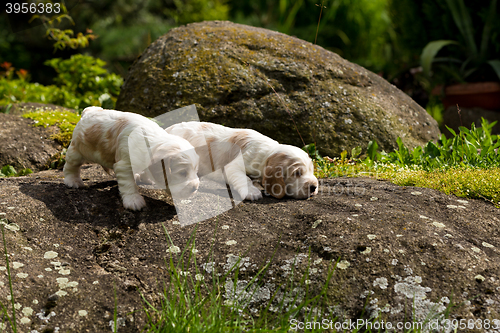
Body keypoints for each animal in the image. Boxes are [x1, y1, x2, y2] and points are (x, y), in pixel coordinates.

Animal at [63, 107, 200, 210]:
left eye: (195, 172)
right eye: (182, 173)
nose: (195, 188)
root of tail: (89, 110)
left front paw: (144, 178)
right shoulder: (125, 165)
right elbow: (129, 184)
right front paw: (134, 201)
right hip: (77, 150)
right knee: (71, 166)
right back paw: (73, 181)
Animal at [166, 122, 318, 200]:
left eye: (311, 170)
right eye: (297, 173)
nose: (314, 187)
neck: (266, 152)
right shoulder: (234, 166)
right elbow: (245, 178)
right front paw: (252, 192)